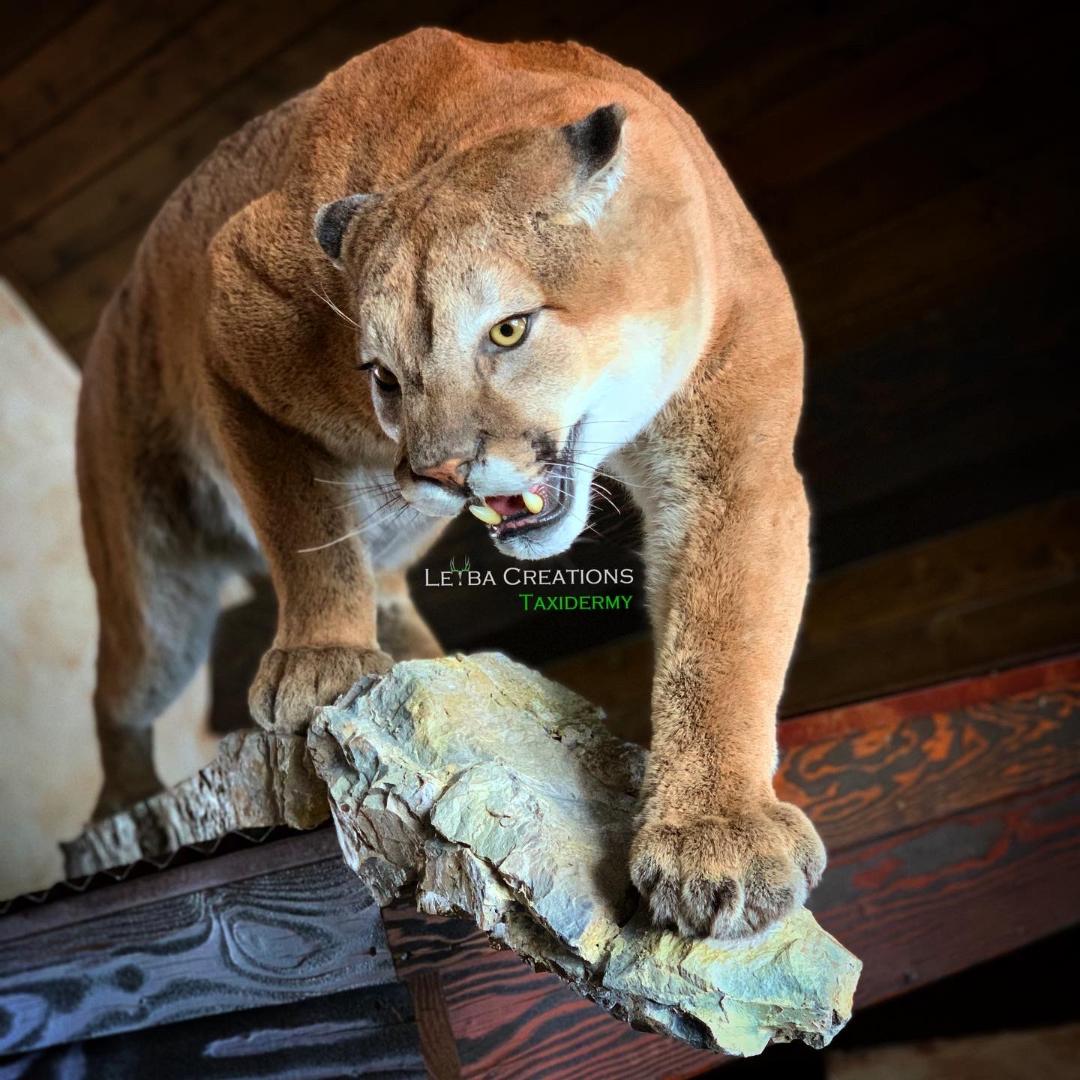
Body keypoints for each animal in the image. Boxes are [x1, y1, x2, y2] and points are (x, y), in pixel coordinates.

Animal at [76, 27, 825, 938]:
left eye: (508, 330)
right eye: (383, 378)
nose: (439, 469)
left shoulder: (733, 468)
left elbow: (723, 642)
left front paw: (715, 833)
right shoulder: (231, 310)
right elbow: (301, 525)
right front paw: (322, 654)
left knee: (386, 573)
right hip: (158, 605)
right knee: (117, 697)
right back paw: (123, 805)